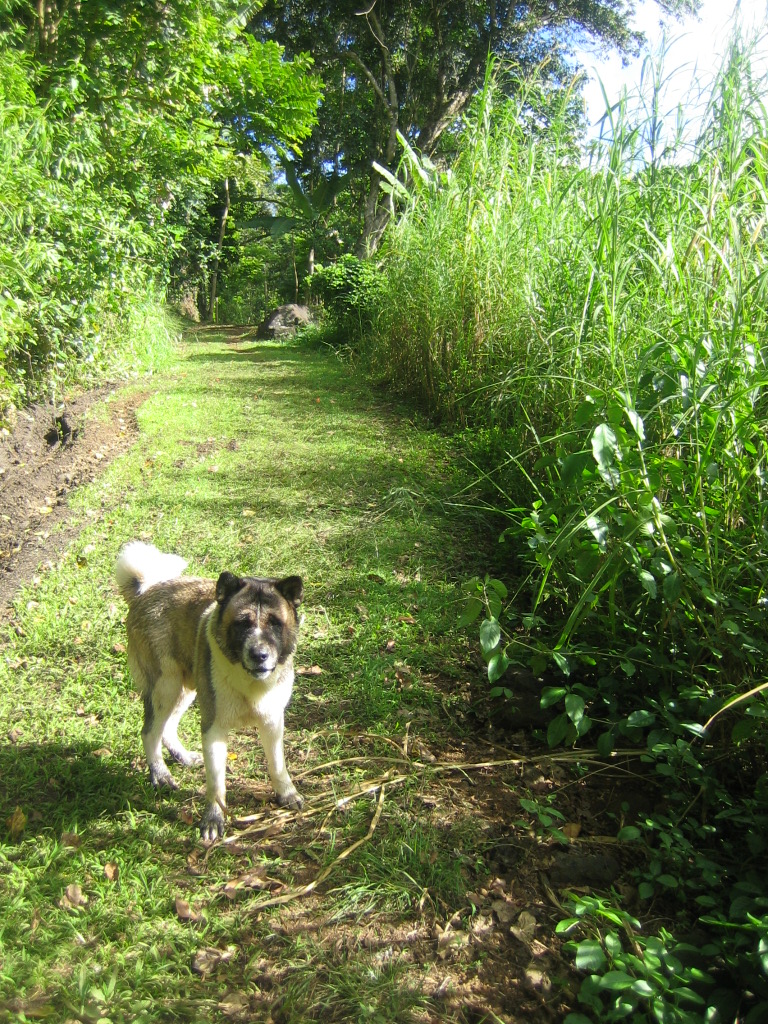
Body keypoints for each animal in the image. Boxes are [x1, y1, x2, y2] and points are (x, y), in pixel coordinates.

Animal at [115, 540, 305, 835]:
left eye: (275, 622)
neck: (250, 683)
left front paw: (286, 793)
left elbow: (277, 763)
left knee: (167, 727)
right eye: (242, 623)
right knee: (150, 732)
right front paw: (214, 819)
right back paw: (161, 775)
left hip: (186, 689)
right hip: (166, 686)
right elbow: (216, 783)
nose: (259, 655)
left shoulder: (273, 721)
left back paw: (182, 757)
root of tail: (146, 590)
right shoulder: (214, 729)